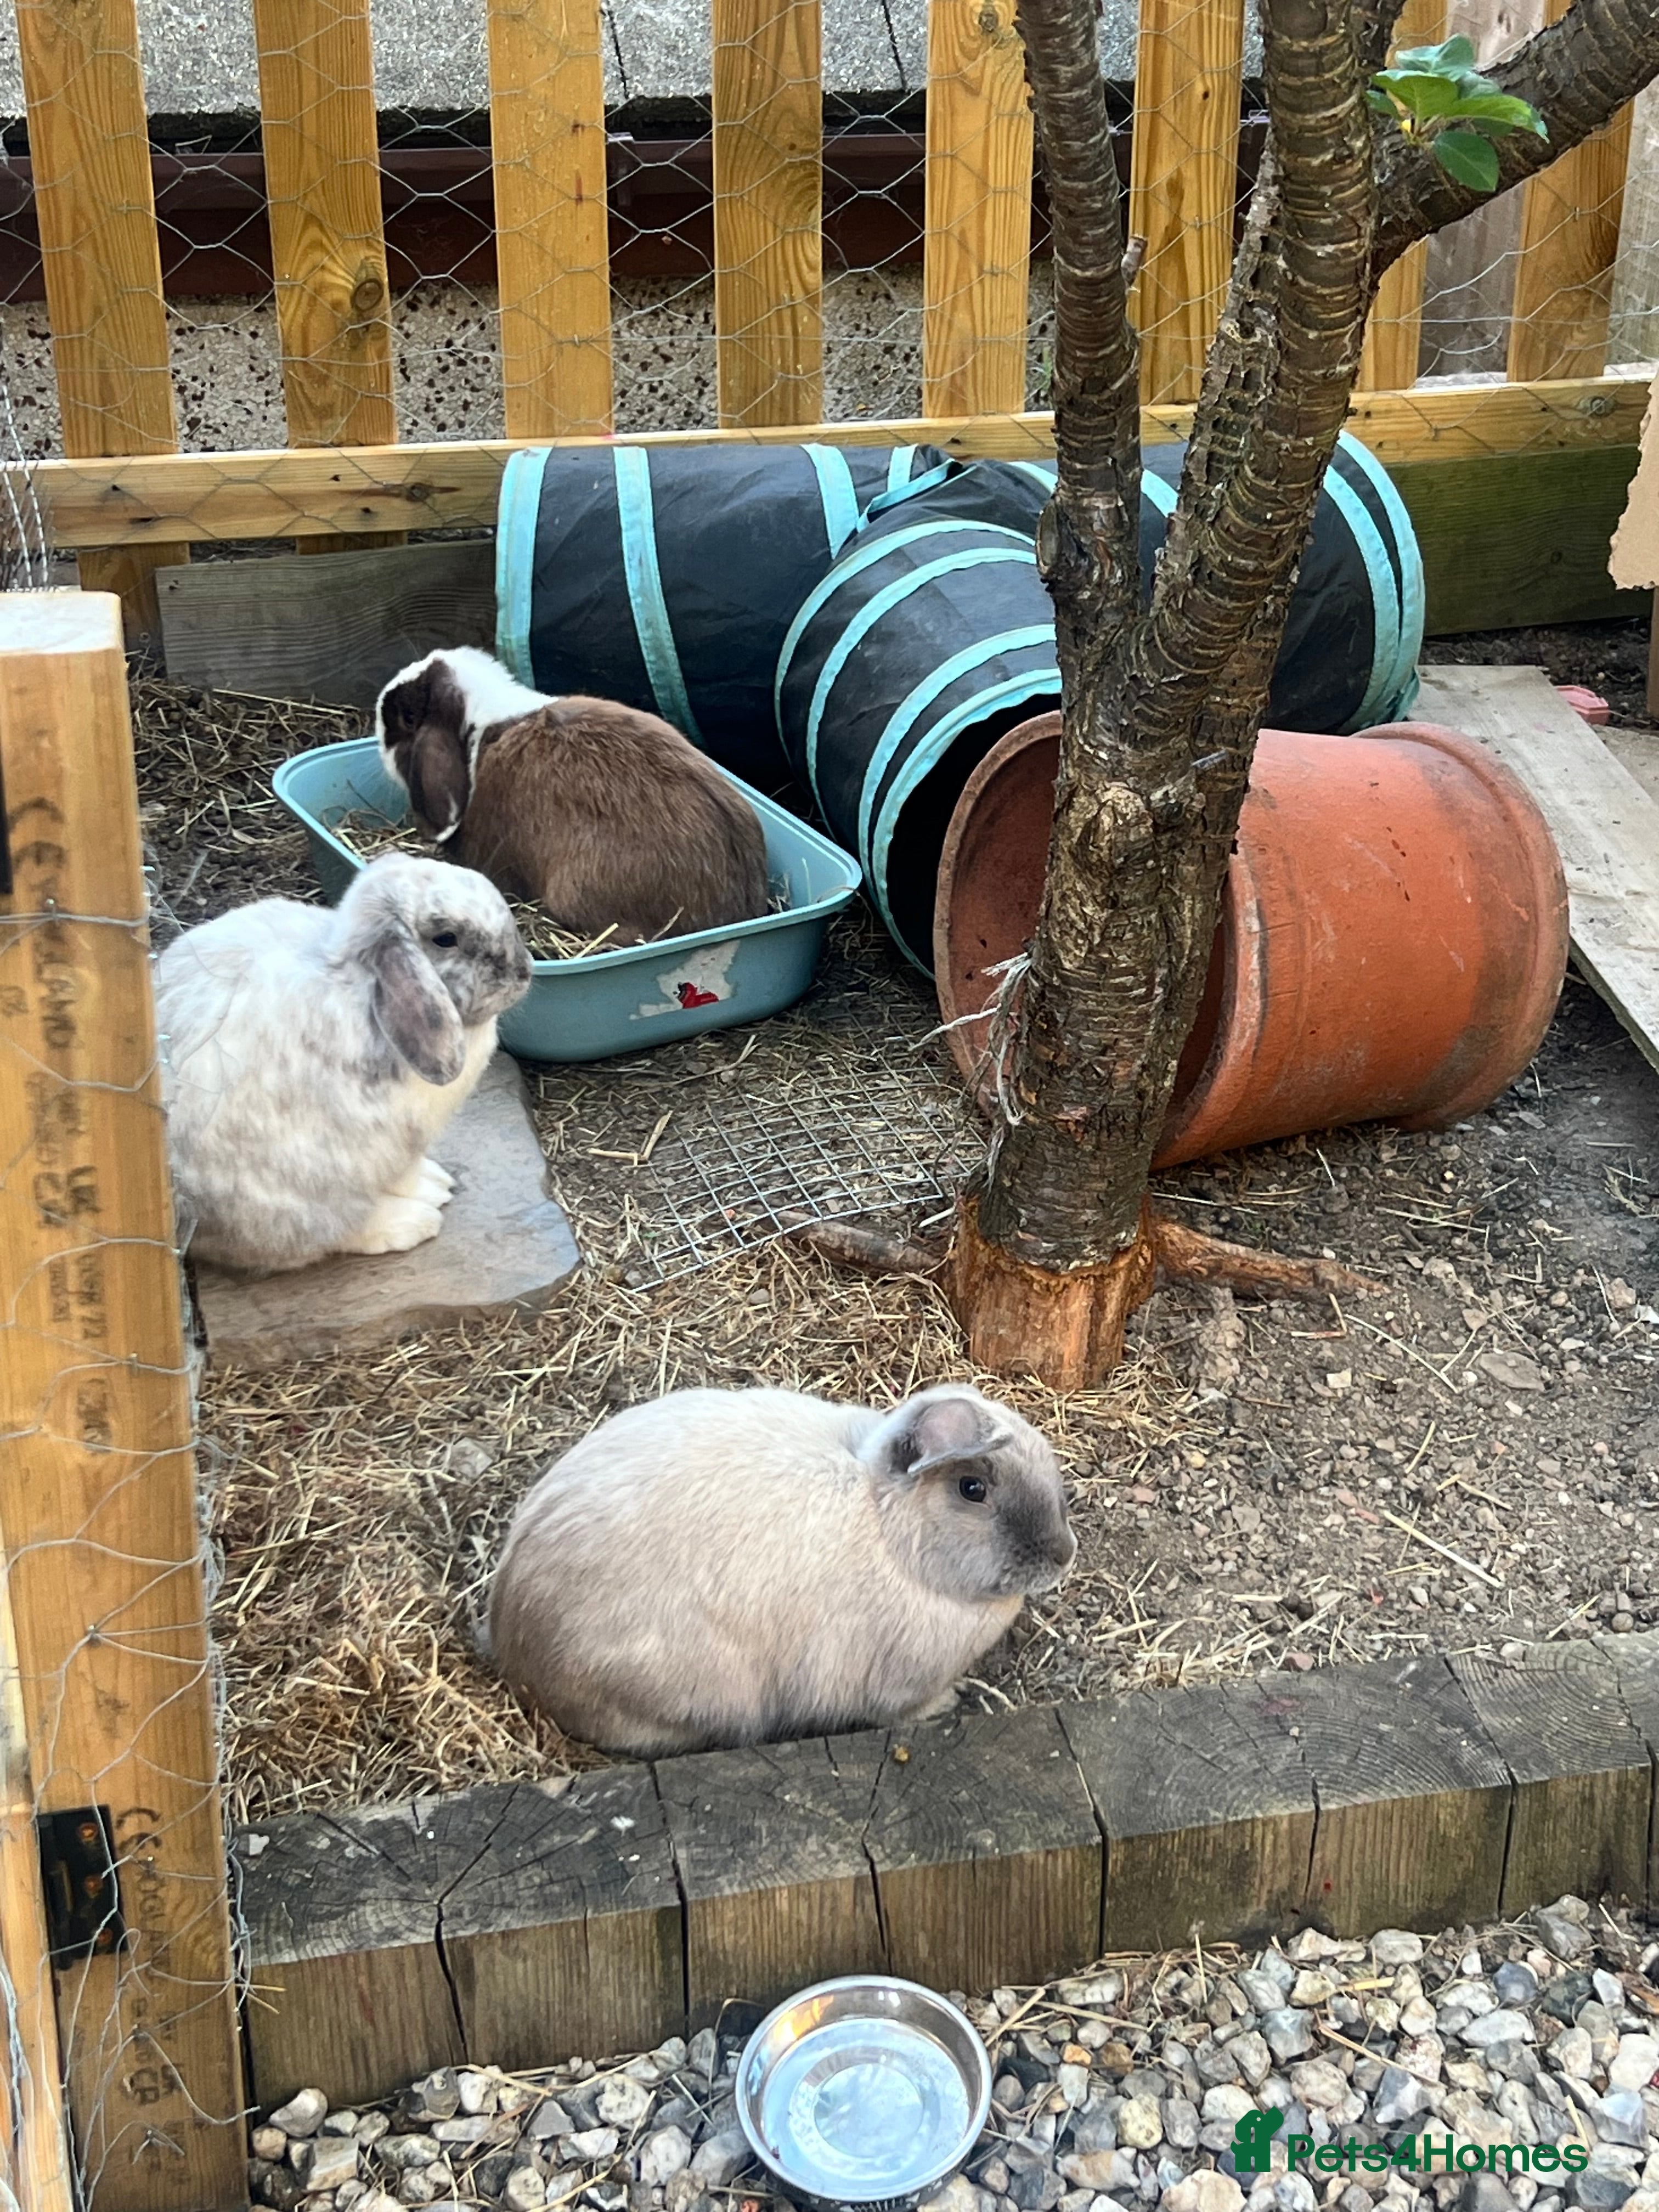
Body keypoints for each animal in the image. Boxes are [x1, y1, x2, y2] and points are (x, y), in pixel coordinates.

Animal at [155, 852, 532, 1275]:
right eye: (446, 938)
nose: (524, 971)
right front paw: (424, 1201)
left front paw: (435, 1184)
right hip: (299, 1193)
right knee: (324, 1234)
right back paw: (411, 1223)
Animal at [487, 1382, 1076, 1756]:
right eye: (972, 1489)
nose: (1062, 1554)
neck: (891, 1535)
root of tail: (517, 1656)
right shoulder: (896, 1683)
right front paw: (953, 1701)